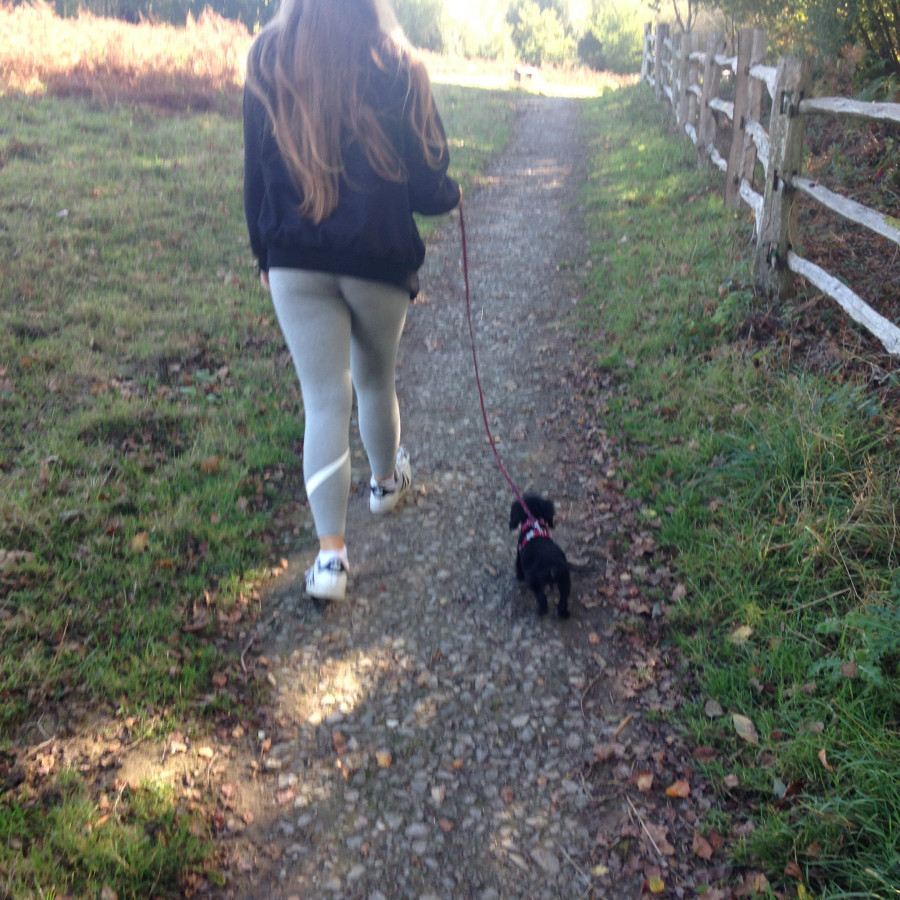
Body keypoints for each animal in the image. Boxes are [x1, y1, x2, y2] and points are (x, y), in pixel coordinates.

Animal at [510, 492, 572, 620]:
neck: (534, 524)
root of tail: (553, 564)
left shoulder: (518, 555)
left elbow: (518, 567)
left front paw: (519, 577)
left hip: (535, 581)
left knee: (542, 598)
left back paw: (540, 611)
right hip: (565, 581)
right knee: (563, 600)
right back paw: (564, 614)